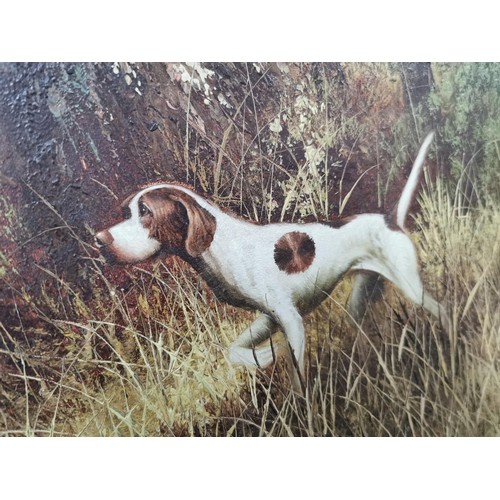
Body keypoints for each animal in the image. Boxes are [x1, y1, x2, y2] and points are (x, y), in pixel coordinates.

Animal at [94, 133, 450, 394]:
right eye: (126, 211)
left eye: (145, 212)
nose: (99, 238)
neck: (224, 247)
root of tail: (390, 220)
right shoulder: (267, 319)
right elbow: (235, 350)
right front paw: (264, 356)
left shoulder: (291, 320)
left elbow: (298, 379)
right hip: (360, 298)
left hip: (411, 286)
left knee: (443, 309)